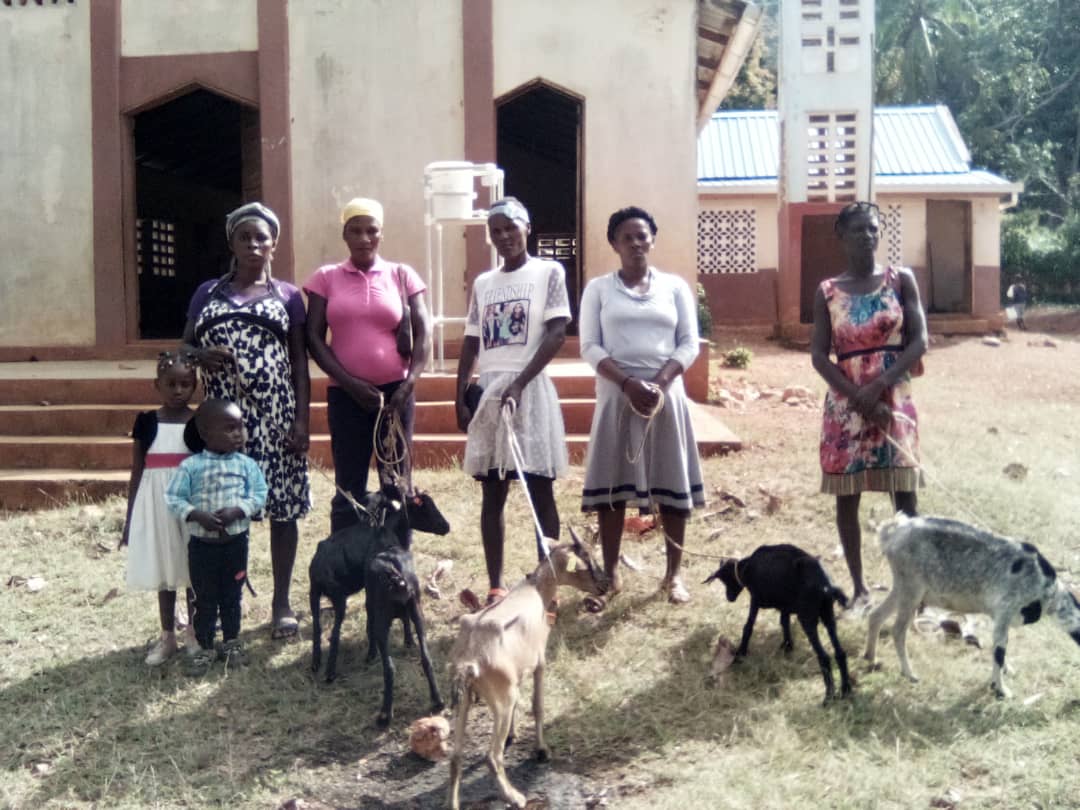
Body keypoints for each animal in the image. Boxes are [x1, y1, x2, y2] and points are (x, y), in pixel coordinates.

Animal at [311, 486, 449, 686]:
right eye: (424, 510)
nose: (446, 527)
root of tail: (320, 567)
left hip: (314, 595)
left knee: (317, 628)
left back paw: (316, 664)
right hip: (339, 598)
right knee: (334, 634)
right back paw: (330, 673)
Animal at [367, 546, 442, 730]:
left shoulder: (371, 610)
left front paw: (370, 654)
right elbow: (406, 622)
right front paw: (409, 641)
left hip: (381, 623)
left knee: (389, 668)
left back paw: (385, 715)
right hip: (418, 614)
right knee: (426, 659)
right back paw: (437, 701)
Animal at [447, 529, 609, 807]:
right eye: (586, 557)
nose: (605, 585)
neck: (534, 590)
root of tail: (468, 662)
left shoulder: (519, 672)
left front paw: (513, 736)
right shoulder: (539, 662)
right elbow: (537, 705)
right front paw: (542, 751)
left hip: (466, 699)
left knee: (456, 756)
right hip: (501, 699)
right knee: (492, 756)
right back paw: (516, 797)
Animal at [708, 546, 851, 704]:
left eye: (725, 579)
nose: (729, 598)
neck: (747, 567)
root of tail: (827, 587)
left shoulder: (755, 599)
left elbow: (748, 626)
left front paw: (740, 654)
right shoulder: (785, 606)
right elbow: (784, 623)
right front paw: (787, 647)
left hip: (807, 617)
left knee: (824, 657)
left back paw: (828, 696)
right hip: (828, 615)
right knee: (840, 652)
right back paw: (845, 690)